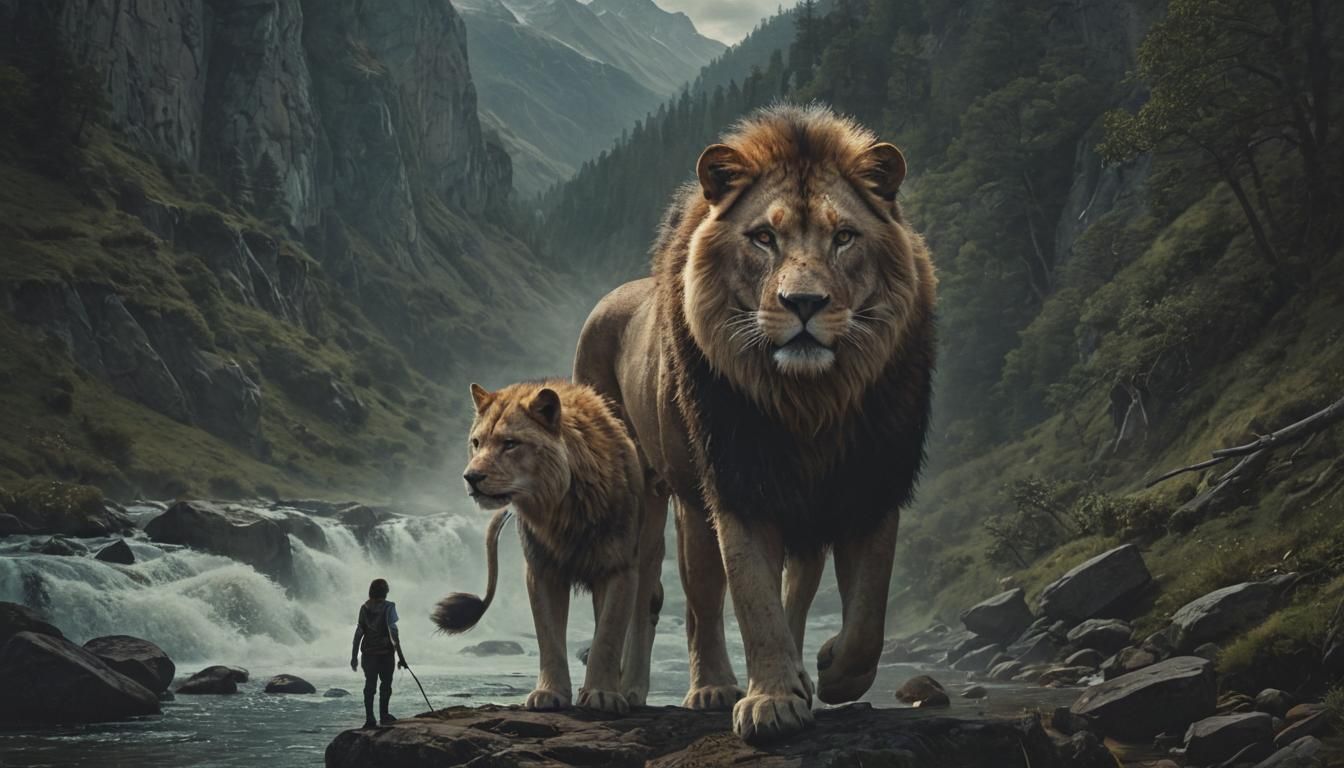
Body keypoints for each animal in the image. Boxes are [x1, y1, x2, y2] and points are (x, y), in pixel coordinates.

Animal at [432, 379, 645, 715]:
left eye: (510, 443)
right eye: (476, 442)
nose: (471, 477)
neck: (561, 508)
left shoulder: (620, 567)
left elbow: (608, 634)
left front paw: (602, 694)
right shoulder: (542, 569)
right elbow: (548, 635)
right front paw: (549, 693)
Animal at [574, 104, 936, 742]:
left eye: (844, 237)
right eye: (763, 238)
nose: (804, 304)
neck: (809, 402)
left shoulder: (872, 479)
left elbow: (868, 614)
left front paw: (830, 671)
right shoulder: (737, 478)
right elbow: (750, 596)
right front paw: (770, 700)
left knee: (793, 585)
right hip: (664, 494)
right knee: (672, 592)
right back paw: (686, 687)